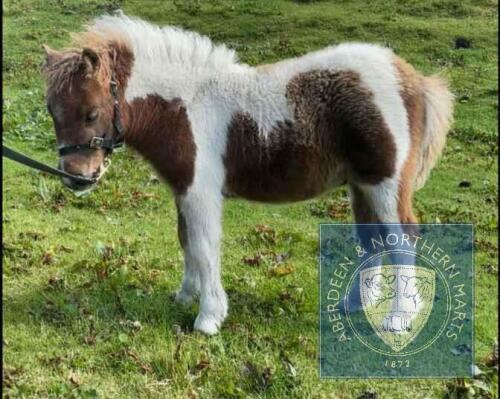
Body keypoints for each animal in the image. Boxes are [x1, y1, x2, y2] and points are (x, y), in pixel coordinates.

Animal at [42, 14, 454, 334]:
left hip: (386, 184)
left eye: (91, 112)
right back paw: (354, 304)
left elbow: (205, 246)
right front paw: (185, 296)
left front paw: (208, 318)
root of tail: (412, 80)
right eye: (52, 110)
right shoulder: (183, 190)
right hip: (362, 185)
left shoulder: (201, 192)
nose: (77, 177)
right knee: (373, 239)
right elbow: (186, 241)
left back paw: (399, 318)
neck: (184, 108)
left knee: (402, 239)